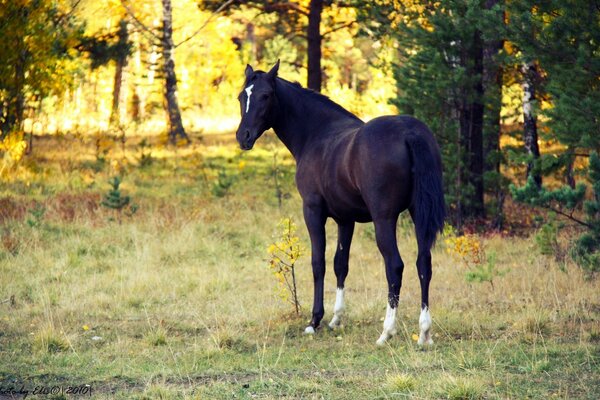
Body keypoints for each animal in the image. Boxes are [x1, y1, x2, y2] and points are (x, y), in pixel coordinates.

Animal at [234, 61, 446, 346]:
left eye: (265, 95)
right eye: (241, 96)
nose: (243, 137)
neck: (317, 134)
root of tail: (410, 132)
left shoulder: (313, 212)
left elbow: (318, 263)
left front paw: (315, 320)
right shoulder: (346, 219)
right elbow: (340, 264)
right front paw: (336, 319)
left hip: (384, 219)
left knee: (395, 266)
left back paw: (386, 332)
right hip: (418, 215)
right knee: (424, 263)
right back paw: (424, 332)